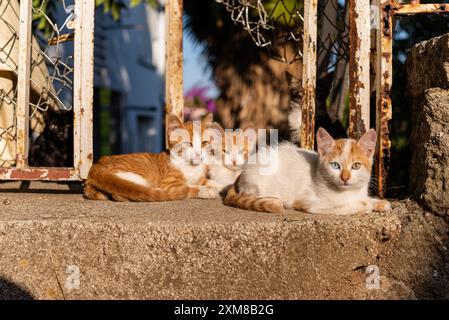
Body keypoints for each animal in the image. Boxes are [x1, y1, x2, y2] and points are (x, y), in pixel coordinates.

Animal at [83, 114, 220, 201]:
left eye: (204, 143)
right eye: (188, 144)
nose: (198, 153)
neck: (191, 167)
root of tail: (97, 164)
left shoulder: (200, 178)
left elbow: (212, 182)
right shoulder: (169, 184)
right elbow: (189, 187)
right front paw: (206, 190)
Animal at [226, 127, 390, 215]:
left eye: (356, 166)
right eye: (335, 165)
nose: (345, 178)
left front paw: (379, 202)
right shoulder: (308, 203)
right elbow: (346, 206)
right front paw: (365, 205)